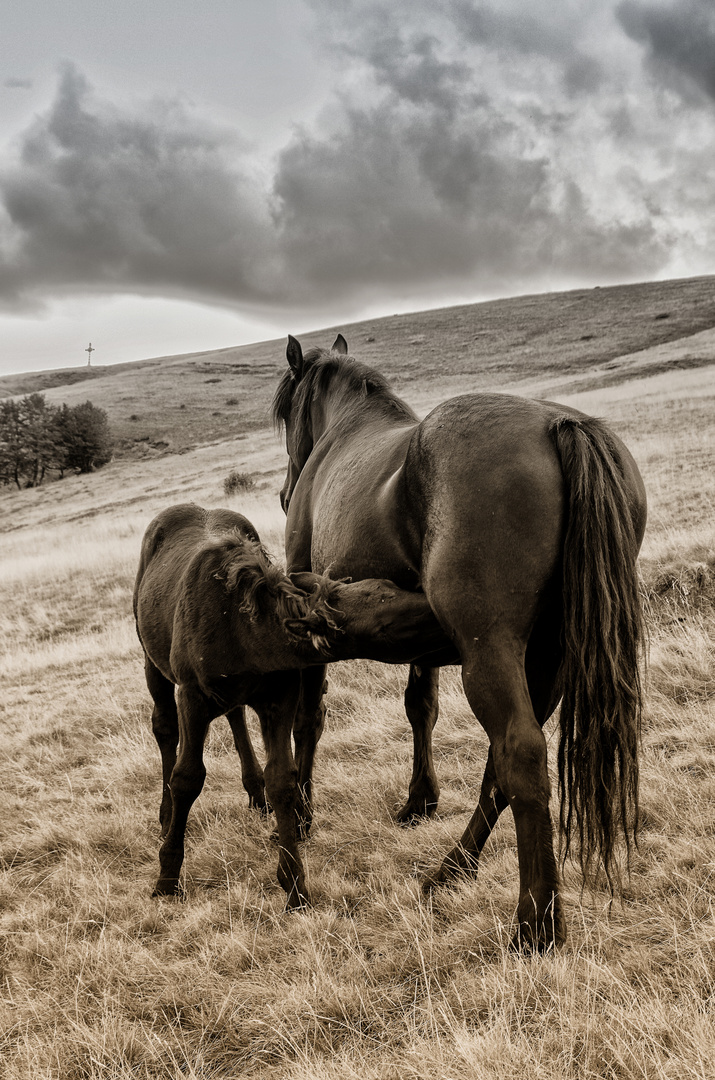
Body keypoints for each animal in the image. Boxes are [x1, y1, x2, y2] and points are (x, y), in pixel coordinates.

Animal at [132, 501, 444, 907]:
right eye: (386, 623)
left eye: (389, 586)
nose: (438, 608)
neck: (244, 633)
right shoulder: (193, 698)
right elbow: (187, 777)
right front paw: (167, 877)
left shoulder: (277, 700)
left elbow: (283, 779)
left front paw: (294, 885)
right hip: (153, 663)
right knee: (164, 727)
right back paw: (166, 814)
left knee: (235, 715)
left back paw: (254, 792)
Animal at [274, 332, 648, 950]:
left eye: (285, 414)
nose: (285, 494)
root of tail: (560, 425)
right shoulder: (417, 640)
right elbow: (420, 707)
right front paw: (420, 799)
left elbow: (309, 717)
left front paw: (302, 811)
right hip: (546, 659)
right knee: (502, 767)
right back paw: (452, 869)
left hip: (488, 654)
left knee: (519, 753)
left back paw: (535, 923)